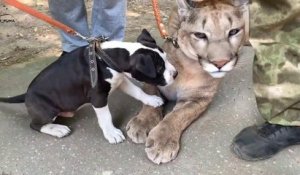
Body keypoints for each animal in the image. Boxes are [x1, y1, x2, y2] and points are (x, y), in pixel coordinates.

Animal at [0, 29, 177, 144]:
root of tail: (26, 94)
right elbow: (105, 117)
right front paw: (111, 133)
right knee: (35, 125)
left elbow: (137, 91)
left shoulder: (120, 80)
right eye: (159, 68)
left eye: (166, 58)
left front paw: (152, 100)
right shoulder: (98, 97)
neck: (107, 57)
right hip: (47, 110)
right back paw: (57, 129)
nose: (175, 74)